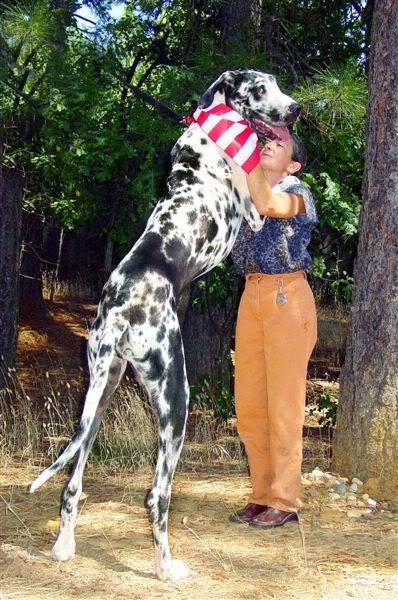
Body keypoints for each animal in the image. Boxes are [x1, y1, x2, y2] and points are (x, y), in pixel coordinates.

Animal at [31, 70, 298, 580]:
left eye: (278, 84)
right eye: (259, 89)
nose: (295, 109)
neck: (207, 140)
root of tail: (119, 313)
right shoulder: (254, 213)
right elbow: (259, 182)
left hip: (99, 393)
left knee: (73, 482)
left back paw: (63, 547)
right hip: (176, 398)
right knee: (157, 495)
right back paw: (166, 569)